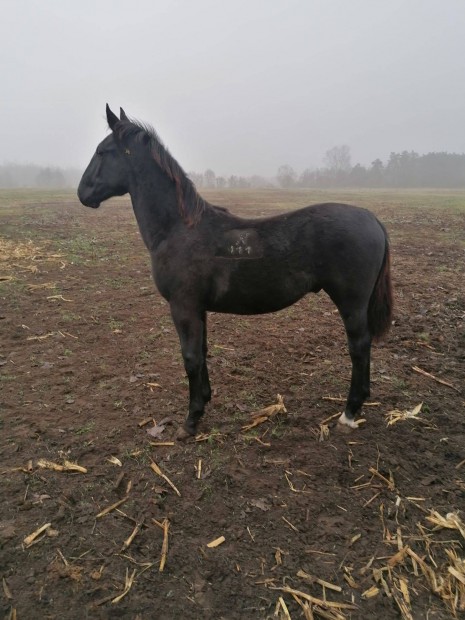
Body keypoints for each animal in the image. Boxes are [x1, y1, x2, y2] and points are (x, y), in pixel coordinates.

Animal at [78, 105, 393, 437]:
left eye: (102, 151)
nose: (82, 193)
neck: (178, 228)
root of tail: (372, 219)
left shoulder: (183, 307)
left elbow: (190, 358)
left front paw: (190, 420)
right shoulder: (197, 309)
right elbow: (202, 352)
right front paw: (204, 401)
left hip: (351, 303)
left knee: (359, 347)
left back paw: (349, 412)